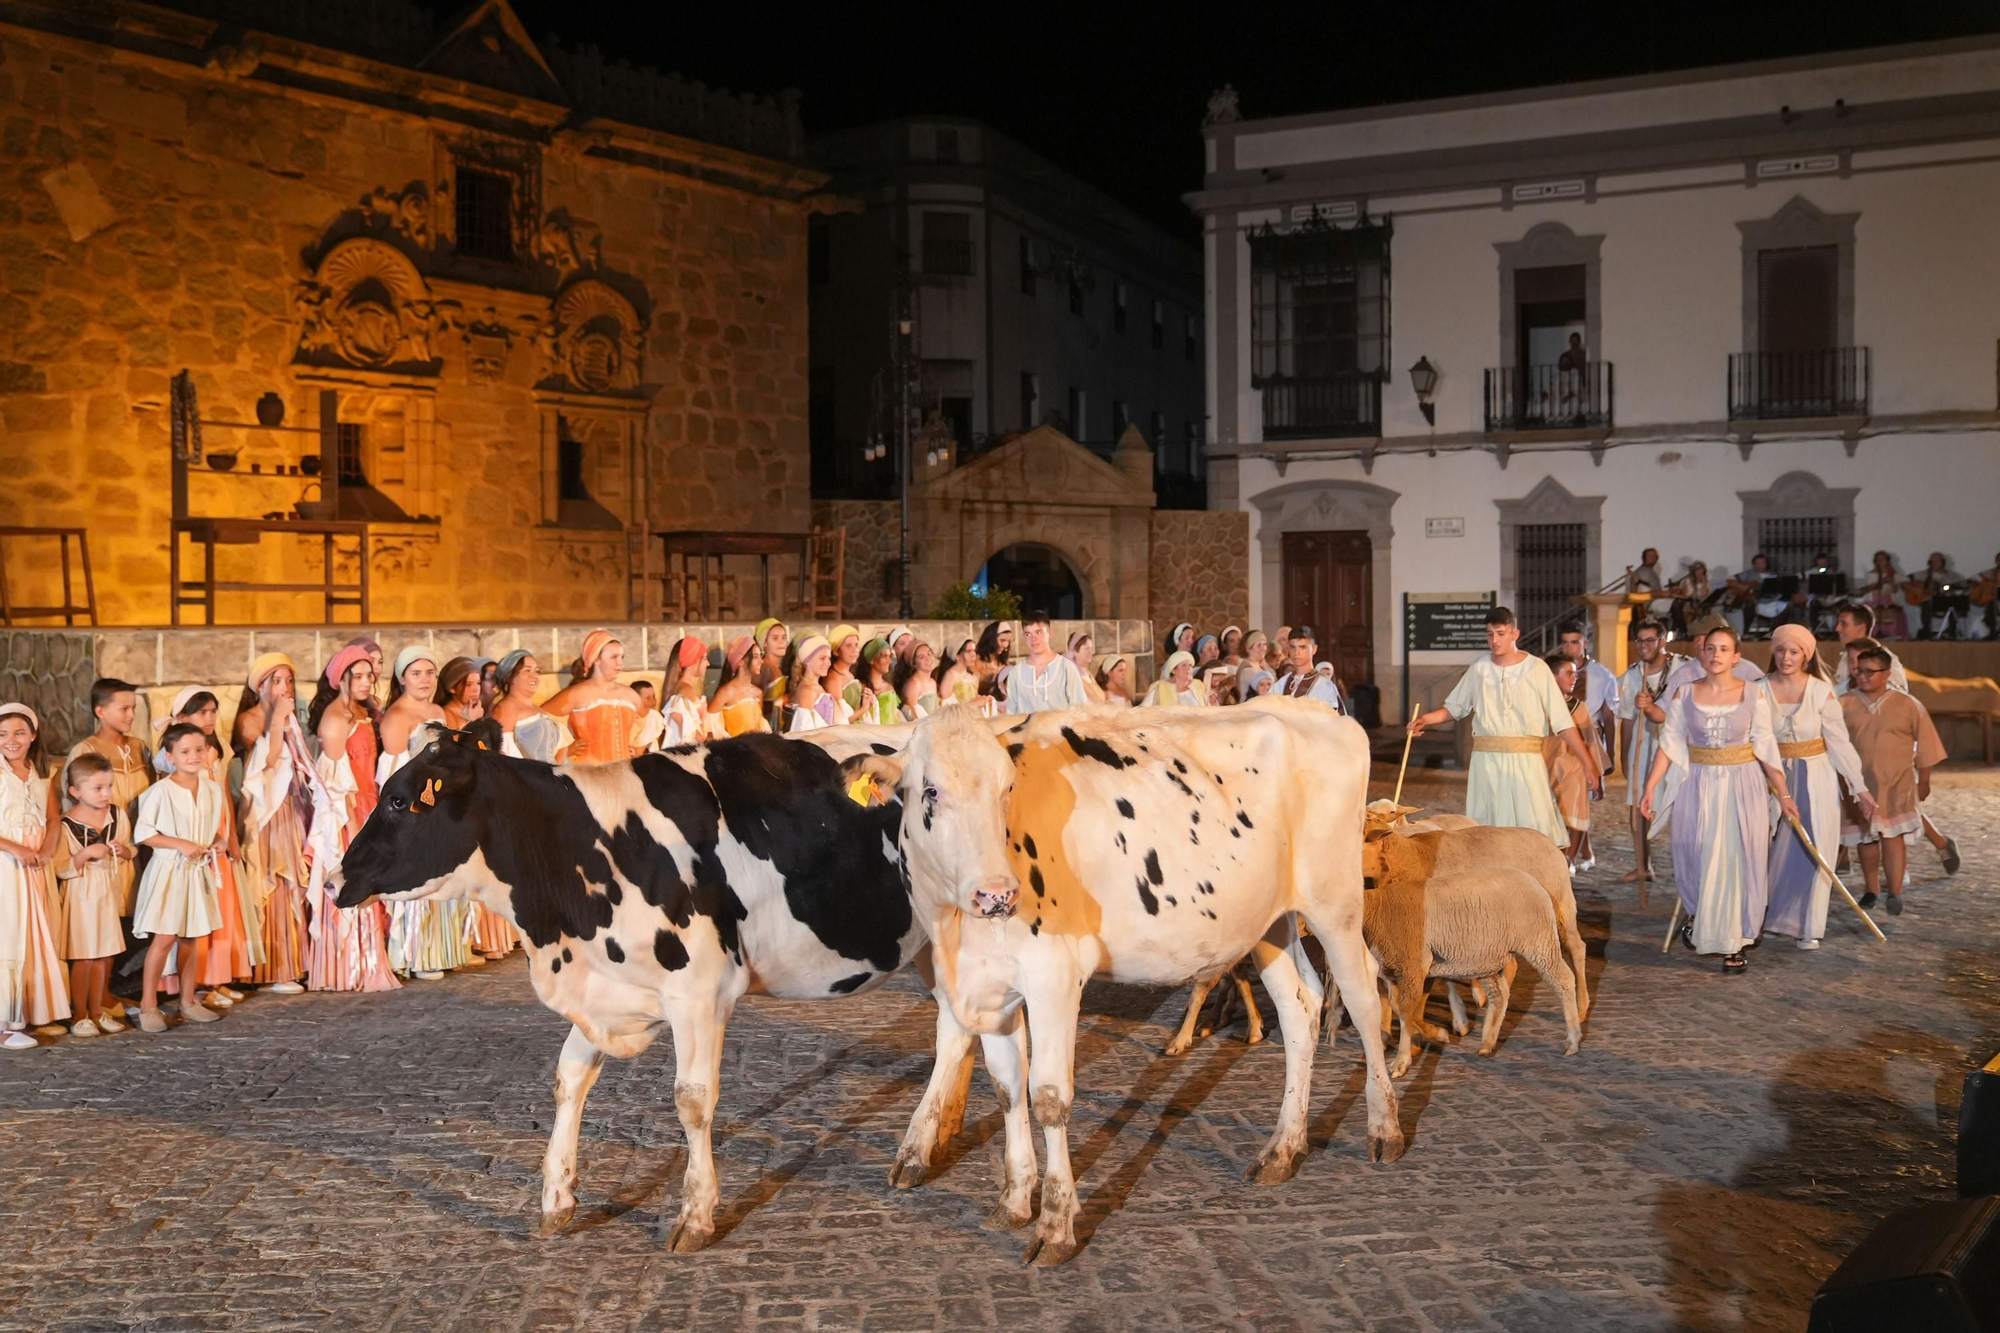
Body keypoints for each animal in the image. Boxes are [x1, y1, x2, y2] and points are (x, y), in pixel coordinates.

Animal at [336, 716, 1016, 1248]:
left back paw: (919, 1149)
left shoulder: (699, 993)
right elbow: (567, 1080)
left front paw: (695, 1214)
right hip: (930, 942)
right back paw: (933, 1141)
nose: (339, 875)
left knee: (958, 1030)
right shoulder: (610, 990)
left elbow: (692, 1100)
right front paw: (557, 1199)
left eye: (399, 801)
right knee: (956, 1027)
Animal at [848, 700, 1408, 1264]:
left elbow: (1048, 1096)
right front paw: (1013, 1199)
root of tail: (1312, 709)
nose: (997, 894)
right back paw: (1284, 1148)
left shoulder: (1055, 978)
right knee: (1299, 1008)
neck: (955, 932)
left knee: (1363, 996)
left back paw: (1385, 1128)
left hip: (1335, 902)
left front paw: (1055, 1224)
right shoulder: (993, 989)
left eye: (1007, 788)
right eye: (931, 791)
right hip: (1268, 920)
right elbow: (1007, 1090)